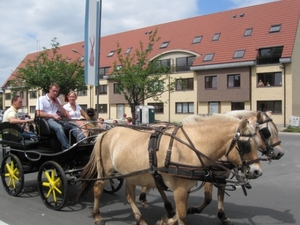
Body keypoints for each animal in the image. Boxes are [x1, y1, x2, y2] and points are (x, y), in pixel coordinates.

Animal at [78, 114, 262, 225]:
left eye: (258, 143)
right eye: (245, 145)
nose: (257, 171)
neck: (190, 147)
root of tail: (105, 133)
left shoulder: (185, 188)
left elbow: (180, 213)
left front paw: (166, 220)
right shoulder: (180, 189)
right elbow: (182, 215)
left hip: (130, 174)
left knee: (130, 196)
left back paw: (140, 218)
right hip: (106, 171)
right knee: (98, 188)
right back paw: (97, 215)